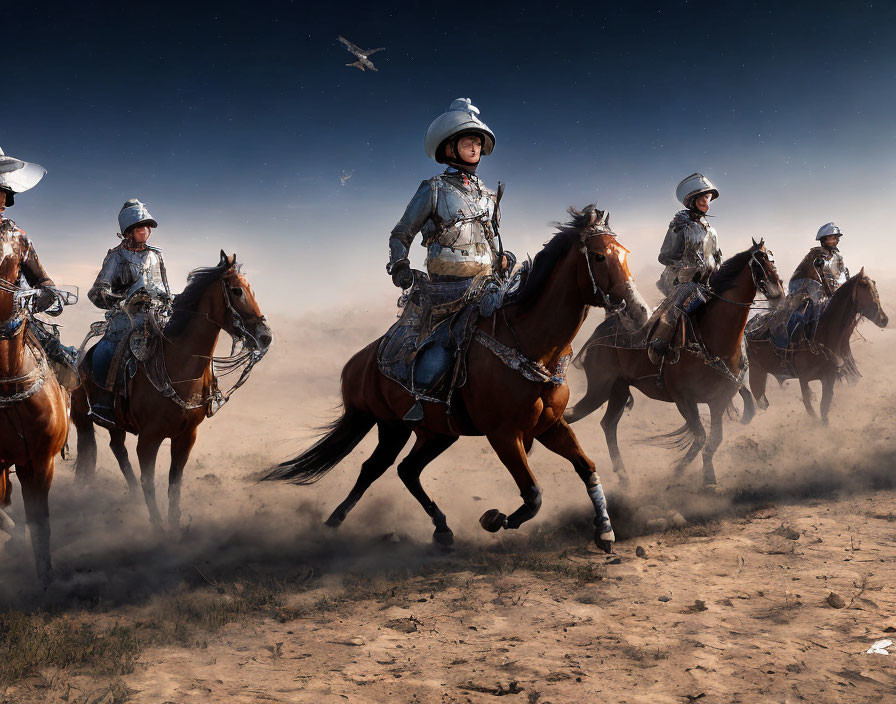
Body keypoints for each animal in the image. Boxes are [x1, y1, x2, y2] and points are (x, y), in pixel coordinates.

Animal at [71, 252, 270, 528]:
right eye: (236, 290)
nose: (265, 336)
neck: (178, 366)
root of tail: (80, 358)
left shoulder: (186, 436)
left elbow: (174, 483)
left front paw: (174, 526)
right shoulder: (148, 440)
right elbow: (149, 483)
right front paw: (158, 528)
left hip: (116, 425)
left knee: (117, 448)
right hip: (82, 419)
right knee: (92, 449)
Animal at [262, 205, 648, 552]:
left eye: (626, 254)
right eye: (599, 257)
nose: (639, 312)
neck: (530, 344)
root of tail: (357, 364)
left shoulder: (550, 426)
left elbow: (587, 468)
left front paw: (604, 530)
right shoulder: (504, 435)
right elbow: (533, 495)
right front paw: (494, 519)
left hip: (436, 433)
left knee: (406, 470)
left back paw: (441, 529)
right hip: (392, 427)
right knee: (374, 468)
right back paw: (334, 523)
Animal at [568, 242, 784, 490]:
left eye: (772, 260)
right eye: (759, 263)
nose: (779, 293)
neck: (713, 338)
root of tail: (597, 333)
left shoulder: (718, 401)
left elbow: (713, 439)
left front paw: (708, 477)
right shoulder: (684, 400)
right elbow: (700, 437)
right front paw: (677, 474)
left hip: (618, 391)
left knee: (608, 424)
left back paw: (624, 478)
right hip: (600, 388)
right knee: (574, 416)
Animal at [744, 268, 884, 424]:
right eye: (864, 287)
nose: (884, 319)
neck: (818, 334)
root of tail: (750, 327)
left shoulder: (829, 377)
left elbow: (824, 405)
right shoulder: (803, 379)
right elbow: (809, 405)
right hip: (756, 371)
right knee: (759, 397)